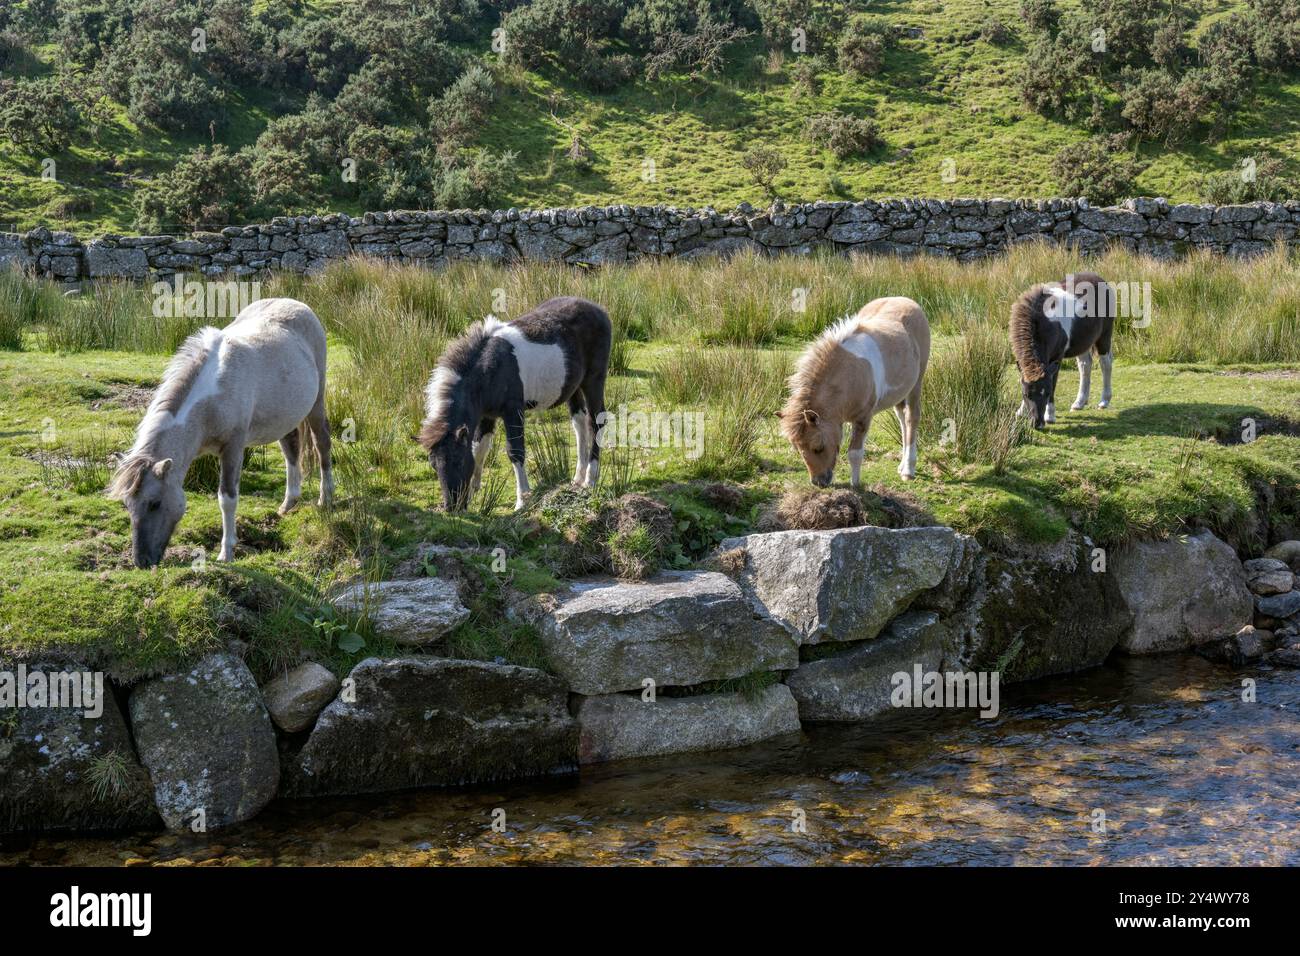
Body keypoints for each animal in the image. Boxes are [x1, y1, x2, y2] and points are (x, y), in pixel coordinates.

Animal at [108, 298, 333, 569]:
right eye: (127, 504)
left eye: (155, 503)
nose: (142, 561)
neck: (213, 395)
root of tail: (296, 304)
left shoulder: (233, 449)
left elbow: (227, 498)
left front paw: (226, 552)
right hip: (285, 416)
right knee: (291, 451)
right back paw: (288, 503)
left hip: (316, 404)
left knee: (322, 444)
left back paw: (325, 498)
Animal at [418, 296, 611, 511]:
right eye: (433, 465)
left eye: (458, 461)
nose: (452, 507)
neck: (487, 369)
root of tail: (599, 310)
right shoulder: (486, 415)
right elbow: (479, 448)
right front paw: (473, 492)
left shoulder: (513, 412)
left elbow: (515, 452)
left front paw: (522, 499)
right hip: (574, 388)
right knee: (579, 424)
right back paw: (578, 477)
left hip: (593, 381)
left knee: (595, 423)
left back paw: (590, 479)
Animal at [780, 297, 931, 487]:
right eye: (798, 449)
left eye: (818, 447)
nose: (818, 482)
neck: (849, 372)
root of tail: (907, 300)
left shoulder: (863, 418)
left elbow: (855, 453)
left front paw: (856, 485)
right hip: (899, 394)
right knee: (902, 420)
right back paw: (902, 465)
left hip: (916, 385)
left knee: (911, 418)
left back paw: (908, 470)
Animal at [1010, 271, 1116, 429]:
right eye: (1026, 395)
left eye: (1047, 393)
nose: (1037, 423)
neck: (1043, 322)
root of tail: (1102, 281)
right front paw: (1020, 412)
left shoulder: (1056, 359)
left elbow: (1053, 383)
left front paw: (1050, 416)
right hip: (1082, 342)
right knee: (1085, 366)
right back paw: (1079, 403)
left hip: (1104, 336)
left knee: (1105, 364)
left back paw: (1104, 401)